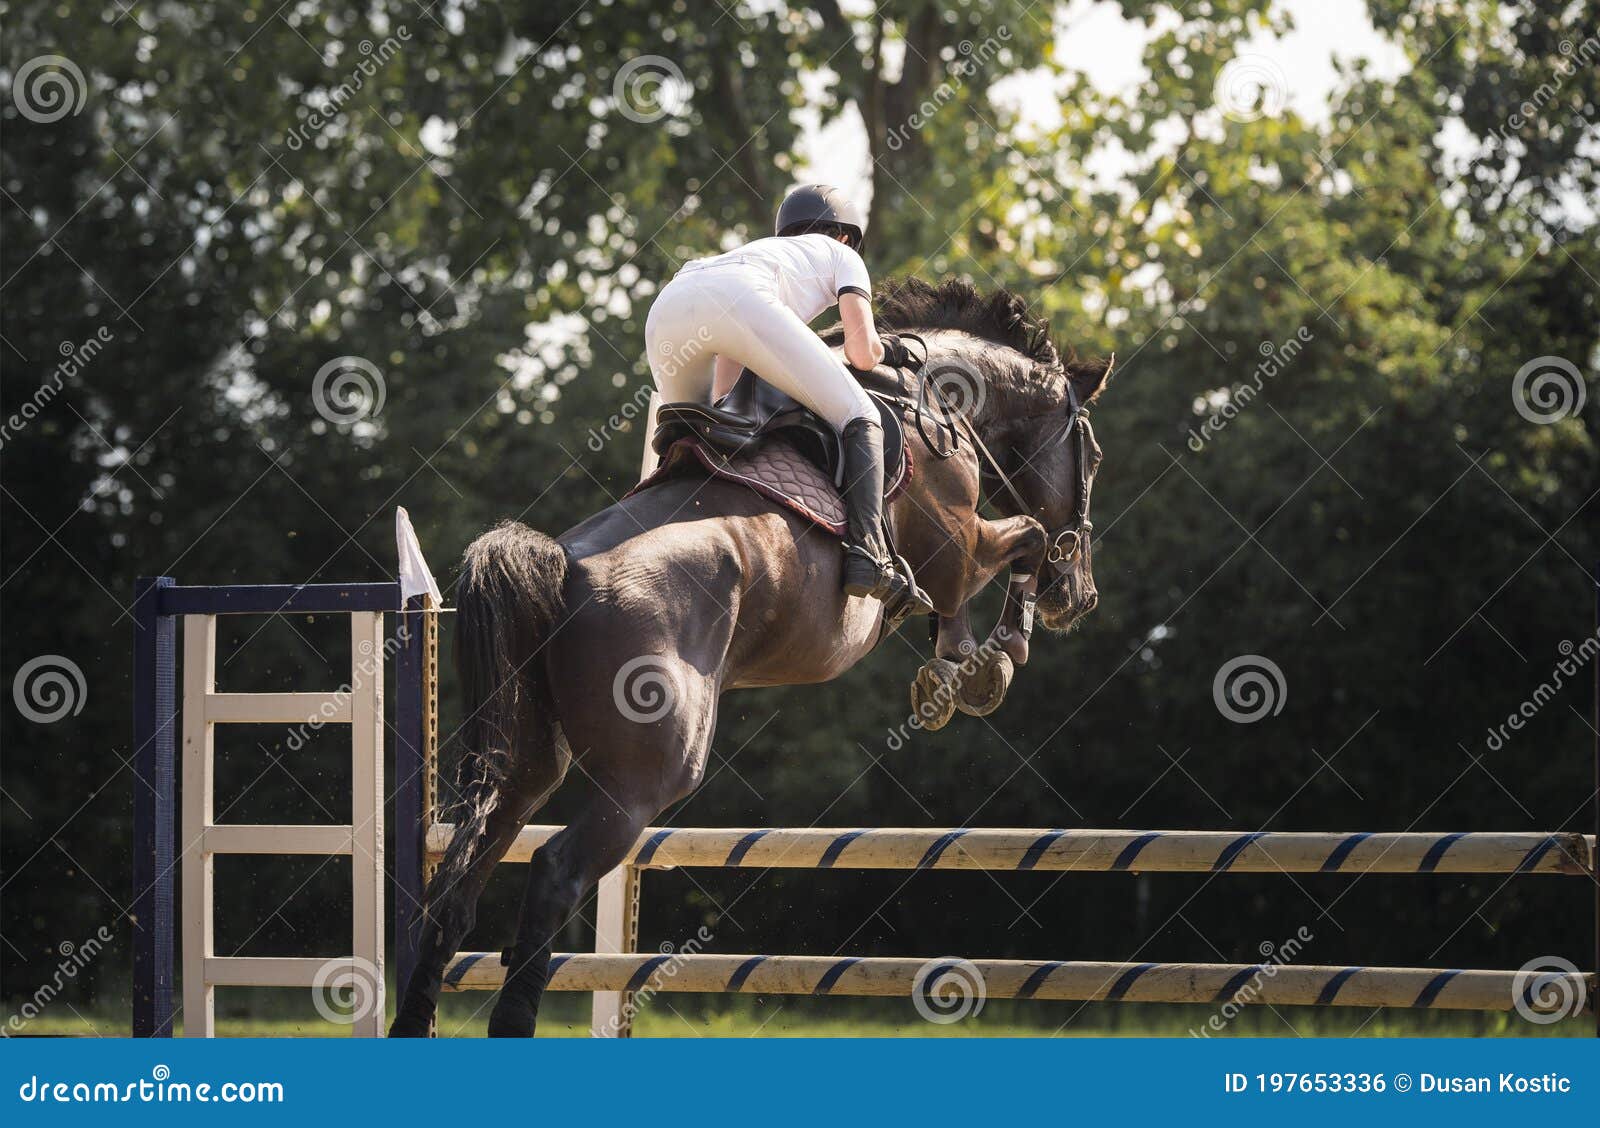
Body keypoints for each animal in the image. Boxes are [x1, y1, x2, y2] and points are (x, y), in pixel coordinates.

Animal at [390, 276, 1113, 1036]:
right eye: (1093, 457)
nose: (1079, 597)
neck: (936, 400)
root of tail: (561, 566)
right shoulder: (961, 547)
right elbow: (1027, 539)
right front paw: (984, 661)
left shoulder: (956, 557)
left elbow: (1002, 561)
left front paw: (959, 666)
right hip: (645, 777)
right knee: (556, 870)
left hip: (530, 761)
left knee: (463, 879)